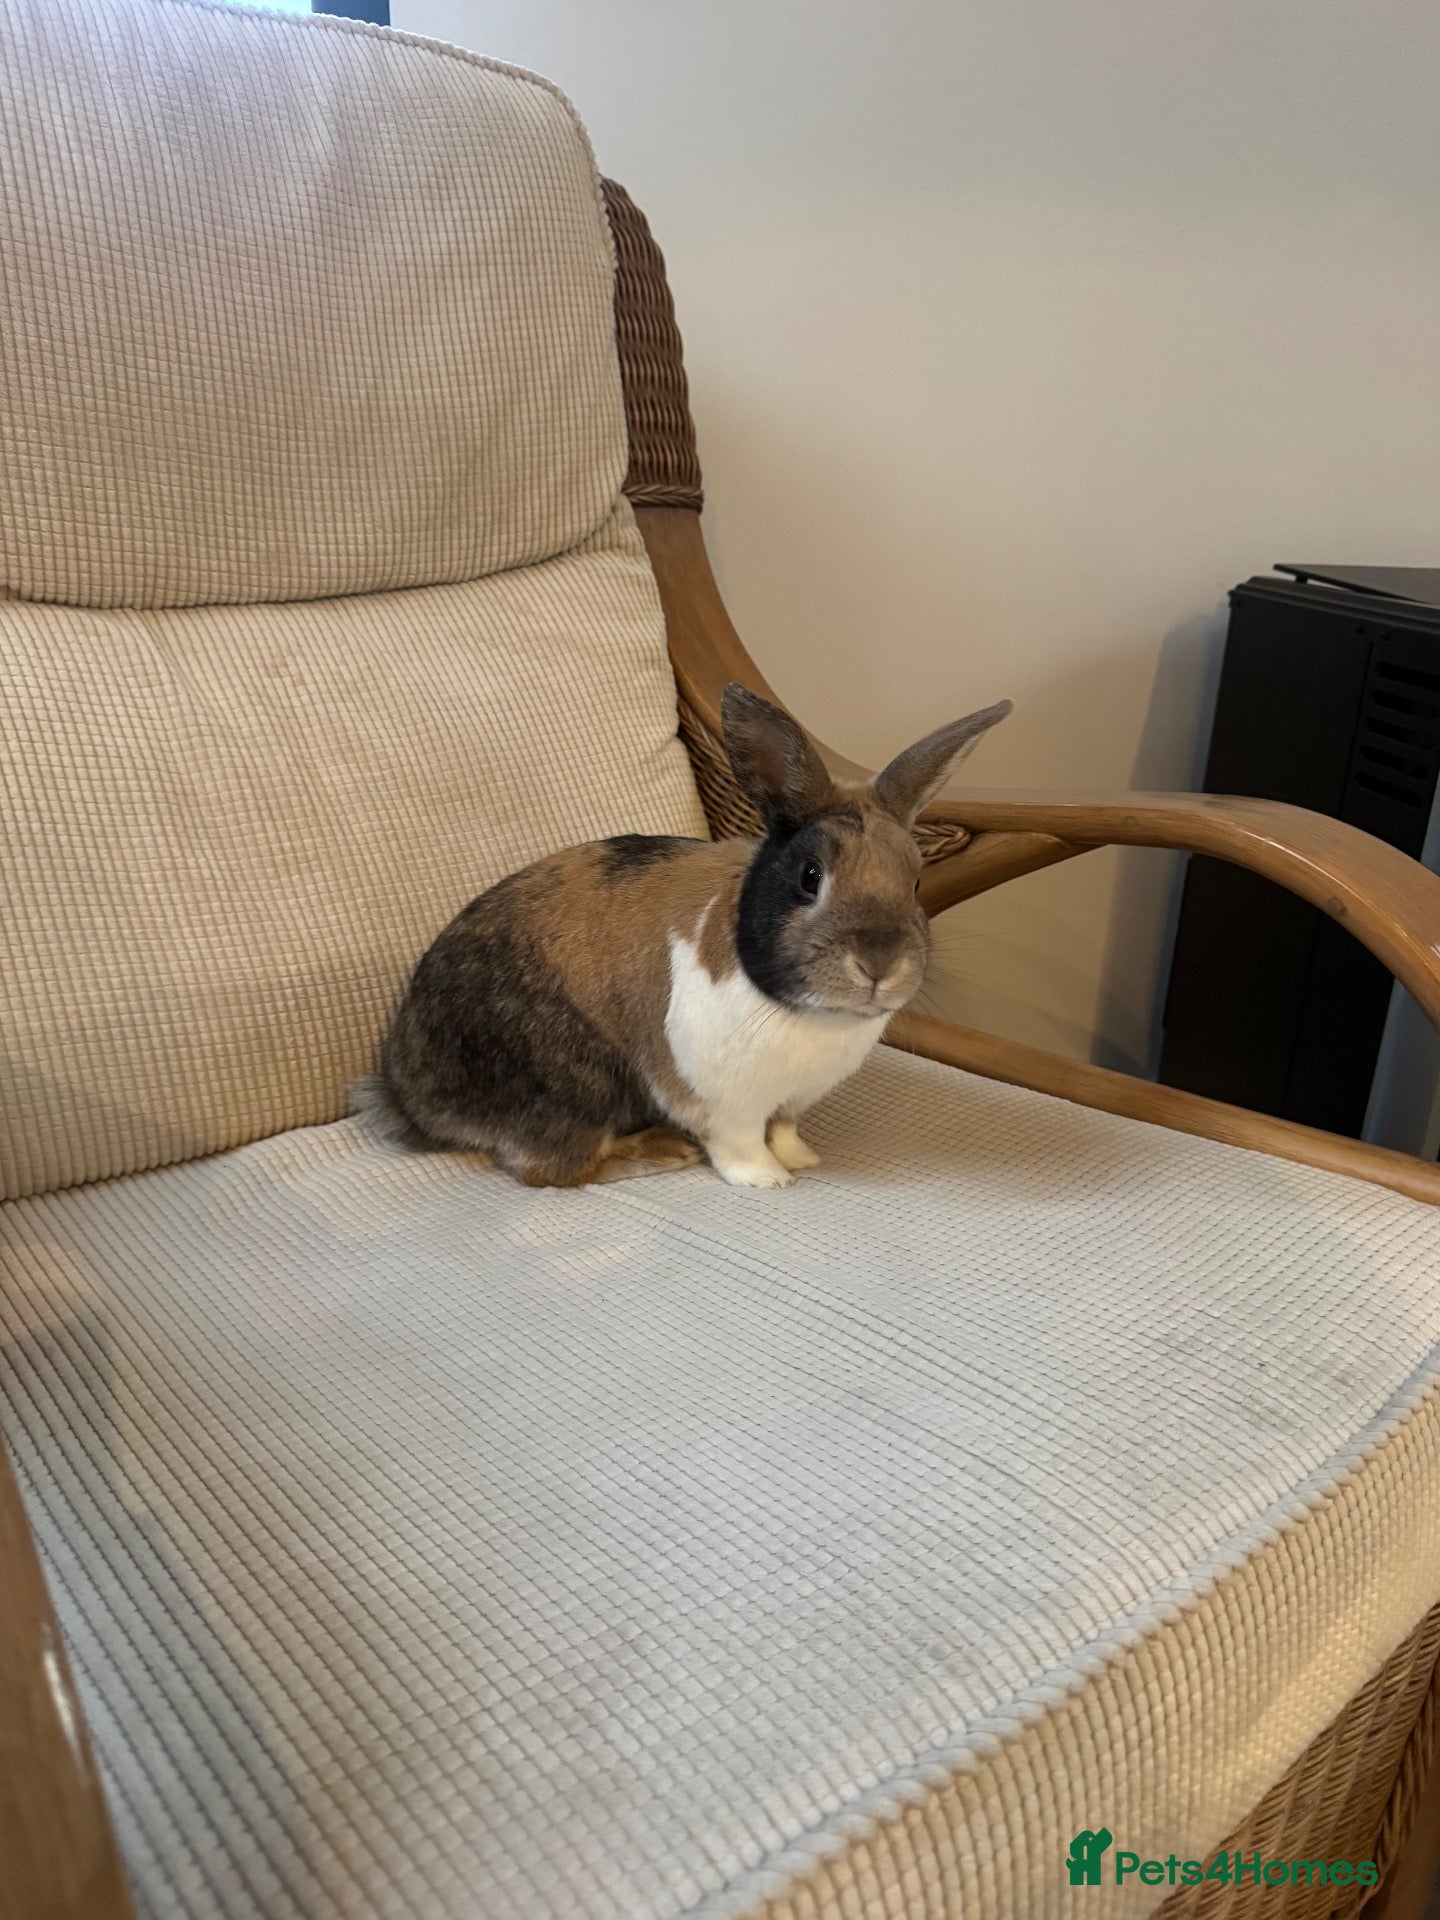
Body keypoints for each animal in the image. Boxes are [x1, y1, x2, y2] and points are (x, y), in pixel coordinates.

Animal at [360, 683, 1011, 1190]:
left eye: (916, 881)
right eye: (809, 877)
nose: (879, 965)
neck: (812, 1015)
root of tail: (409, 1095)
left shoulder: (790, 1100)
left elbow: (784, 1129)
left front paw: (803, 1158)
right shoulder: (722, 1100)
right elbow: (742, 1142)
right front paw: (768, 1179)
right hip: (572, 1086)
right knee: (551, 1169)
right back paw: (659, 1152)